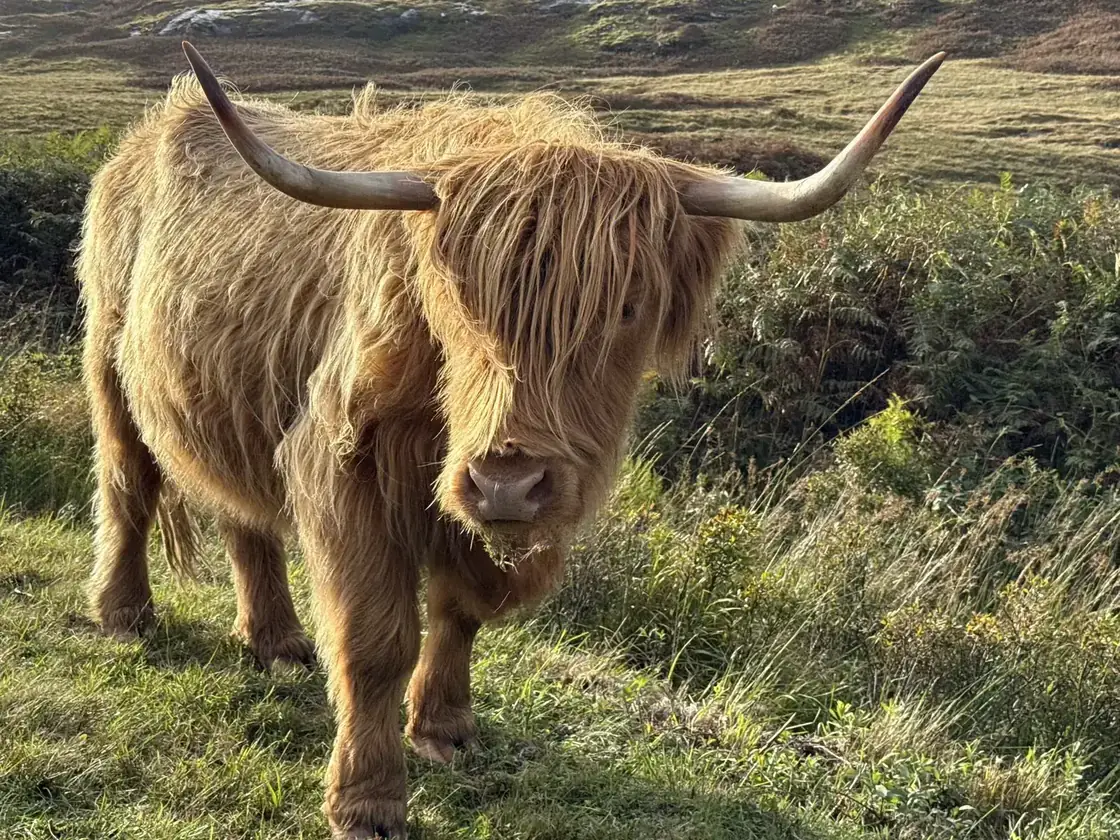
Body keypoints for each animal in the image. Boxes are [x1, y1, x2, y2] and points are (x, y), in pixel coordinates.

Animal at [77, 41, 944, 838]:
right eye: (456, 300)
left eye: (626, 307)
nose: (507, 482)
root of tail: (136, 142)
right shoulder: (342, 462)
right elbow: (376, 639)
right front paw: (368, 801)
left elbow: (463, 608)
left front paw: (445, 729)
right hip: (109, 360)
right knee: (128, 485)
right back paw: (124, 613)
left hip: (227, 392)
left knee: (240, 512)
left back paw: (277, 641)